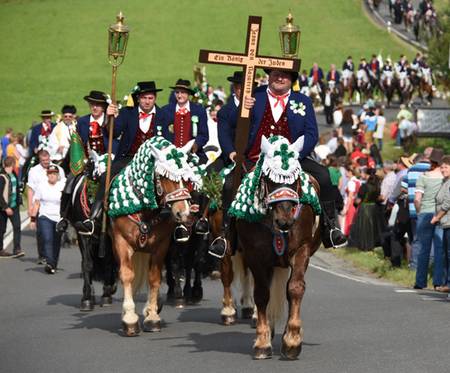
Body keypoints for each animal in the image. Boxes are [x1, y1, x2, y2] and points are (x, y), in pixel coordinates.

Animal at [107, 135, 199, 336]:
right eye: (164, 176)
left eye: (186, 177)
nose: (185, 214)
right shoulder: (121, 242)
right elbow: (127, 275)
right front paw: (130, 318)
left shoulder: (161, 246)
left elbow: (154, 278)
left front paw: (152, 316)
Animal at [220, 135, 322, 358]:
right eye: (268, 179)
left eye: (296, 179)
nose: (284, 221)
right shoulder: (255, 256)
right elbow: (261, 294)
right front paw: (262, 341)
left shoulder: (301, 250)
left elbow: (295, 288)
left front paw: (292, 340)